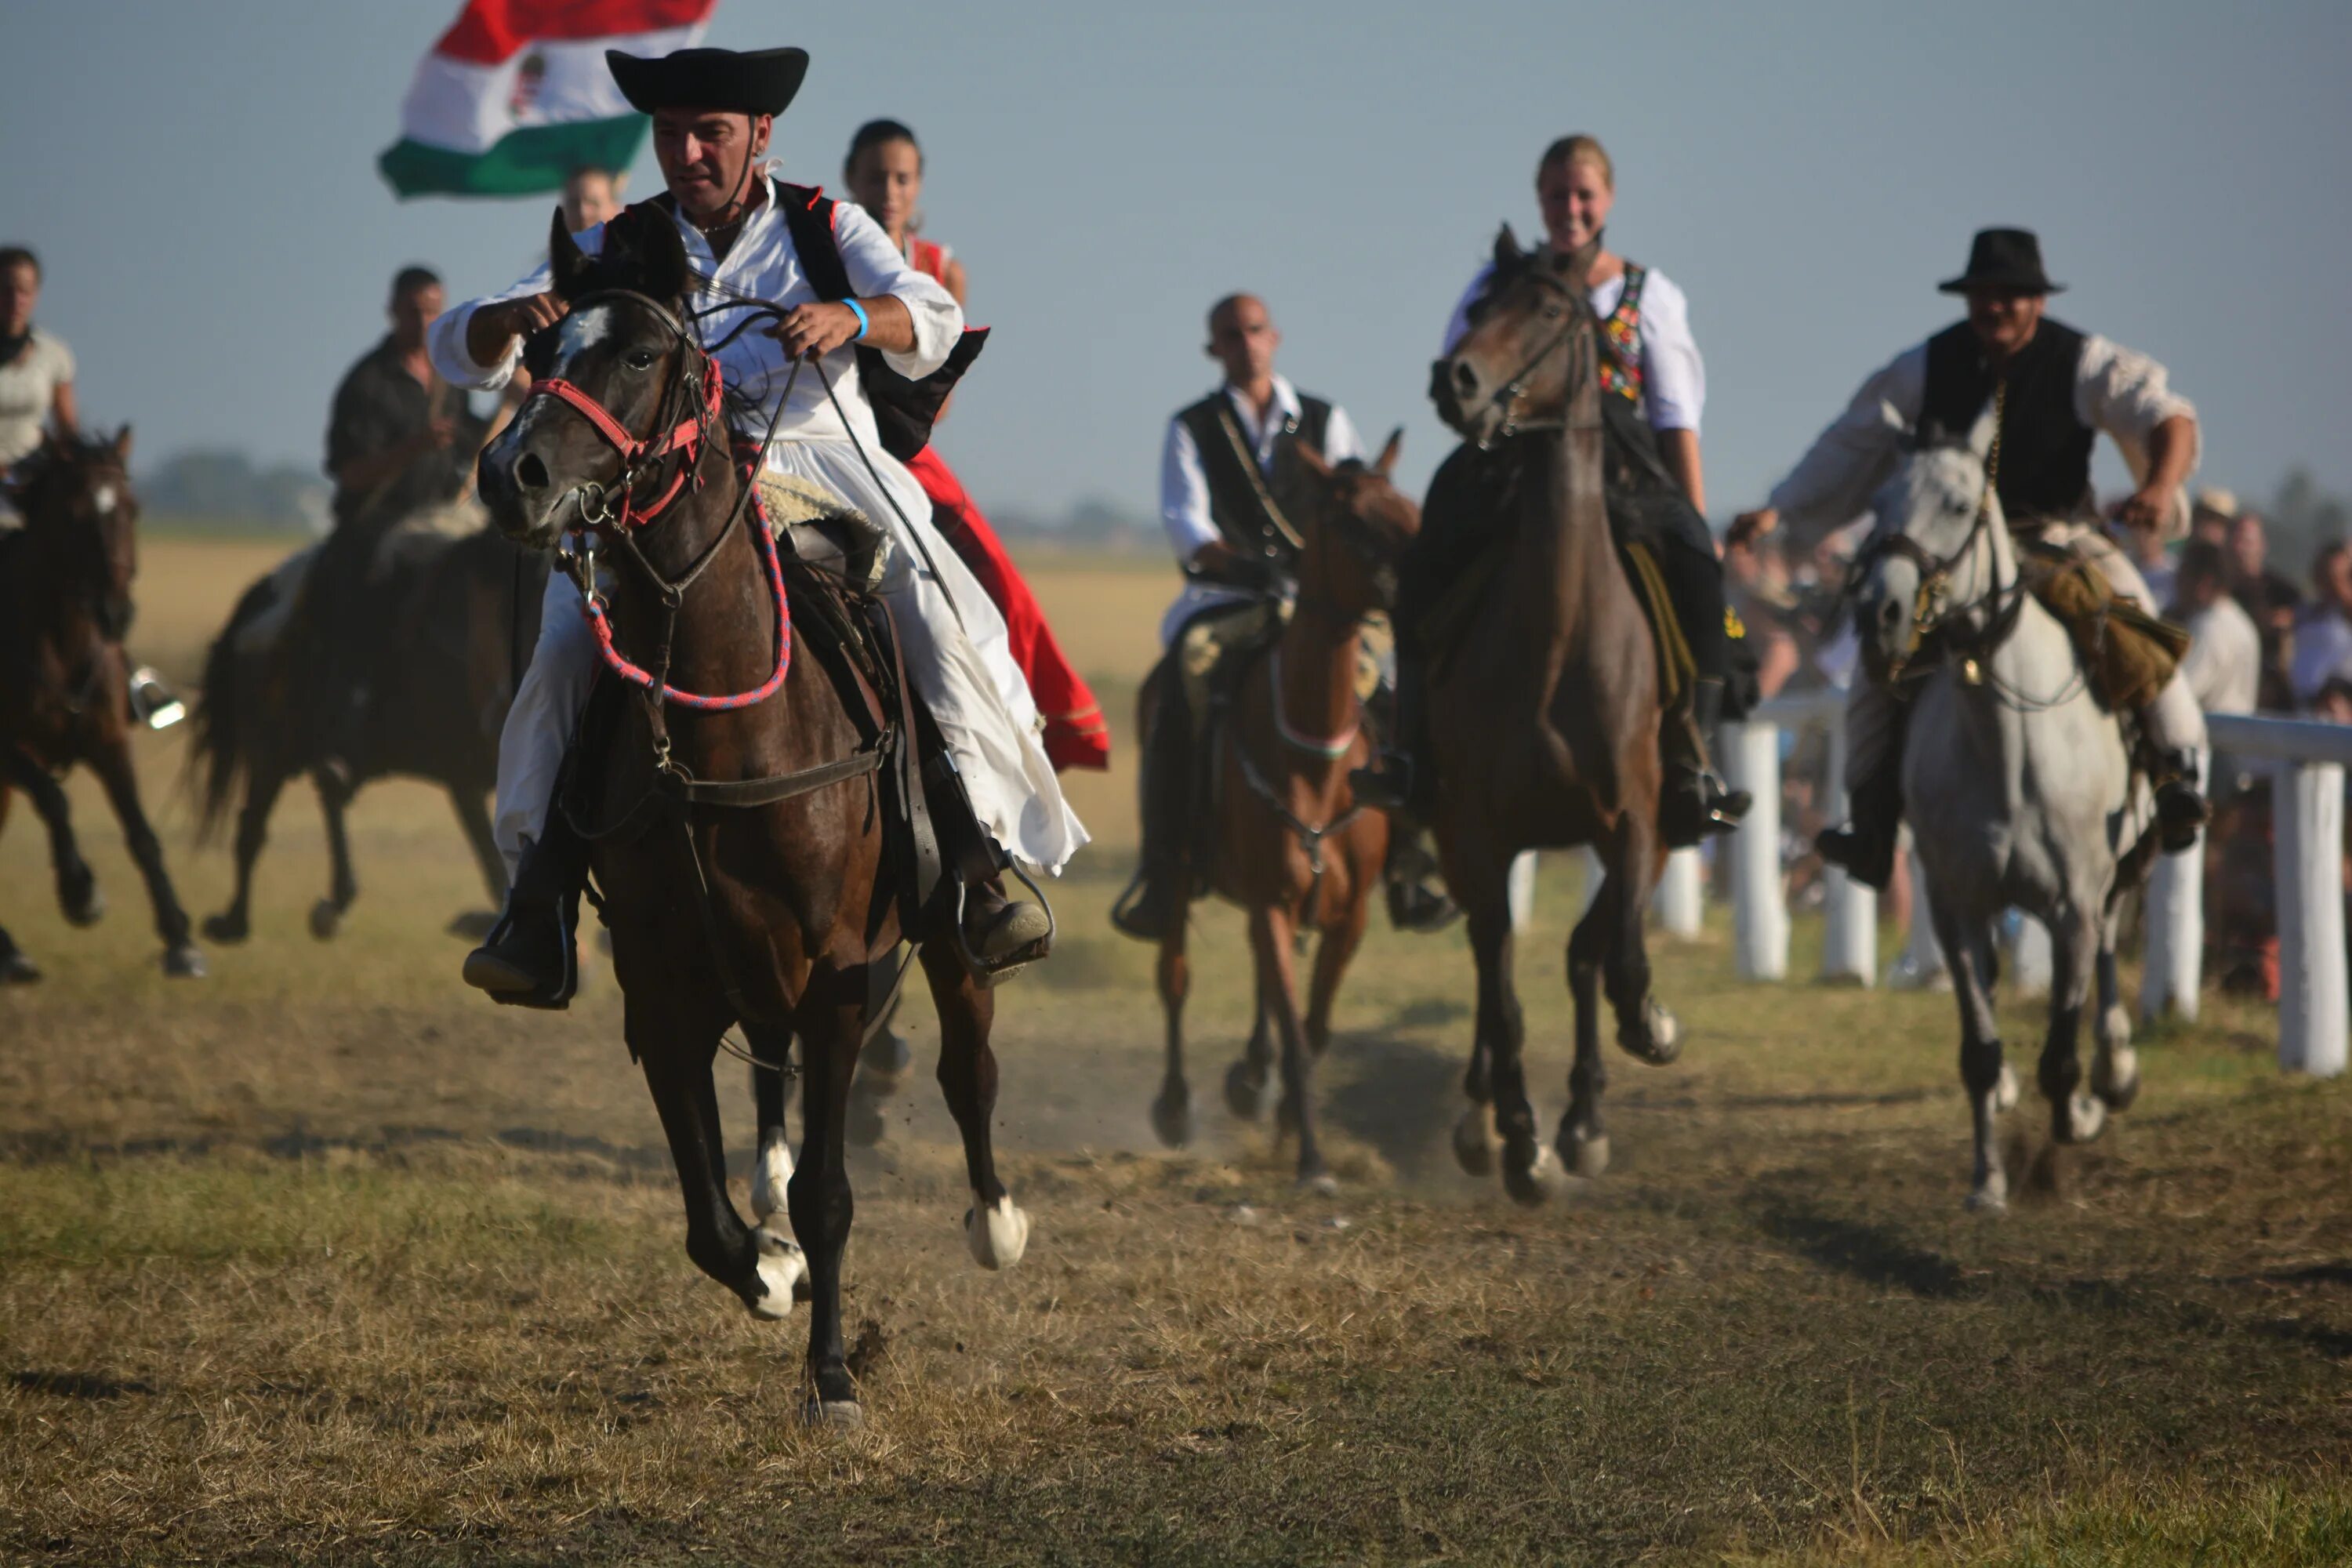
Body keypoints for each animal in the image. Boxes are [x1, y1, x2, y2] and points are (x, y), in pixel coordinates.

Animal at [0, 430, 203, 982]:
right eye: (71, 514)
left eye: (133, 508)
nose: (116, 612)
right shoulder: (12, 751)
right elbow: (54, 799)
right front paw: (80, 894)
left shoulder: (109, 741)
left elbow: (141, 833)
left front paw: (180, 938)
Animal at [1143, 432, 1411, 1189]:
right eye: (1351, 520)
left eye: (1408, 505)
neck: (1316, 761)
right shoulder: (1269, 901)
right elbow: (1294, 1027)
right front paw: (1311, 1157)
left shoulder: (1346, 917)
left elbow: (1313, 1028)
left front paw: (1290, 1120)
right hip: (1179, 877)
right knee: (1175, 978)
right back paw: (1176, 1106)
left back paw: (1251, 1080)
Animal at [1421, 230, 1684, 1203]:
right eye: (1479, 303)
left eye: (1546, 310)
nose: (1454, 378)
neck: (1559, 639)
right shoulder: (1480, 835)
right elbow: (1502, 987)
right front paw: (1522, 1138)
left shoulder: (1639, 819)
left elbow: (1610, 953)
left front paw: (1635, 1042)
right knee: (1491, 967)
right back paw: (1484, 1119)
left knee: (1576, 953)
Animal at [1853, 430, 2164, 1213]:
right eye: (1879, 499)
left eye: (1960, 504)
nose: (1880, 616)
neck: (2007, 749)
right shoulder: (1958, 907)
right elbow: (1981, 1050)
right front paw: (1988, 1181)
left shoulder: (2074, 907)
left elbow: (2060, 1054)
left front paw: (2080, 1115)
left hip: (2121, 870)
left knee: (2110, 953)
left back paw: (2116, 1070)